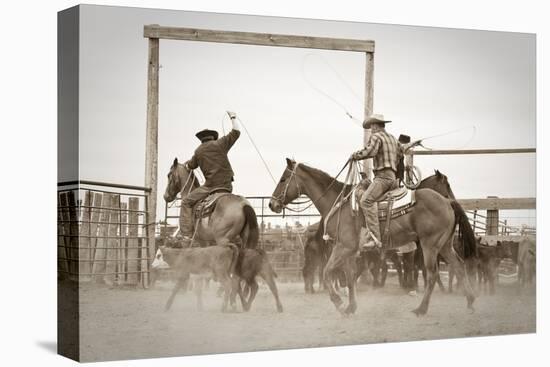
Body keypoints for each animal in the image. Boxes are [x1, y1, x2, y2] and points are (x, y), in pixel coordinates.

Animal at [270, 160, 476, 318]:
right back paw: (470, 301)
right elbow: (349, 277)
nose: (272, 204)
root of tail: (447, 202)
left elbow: (328, 272)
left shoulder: (343, 247)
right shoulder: (349, 250)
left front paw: (338, 301)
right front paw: (350, 307)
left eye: (283, 179)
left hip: (429, 246)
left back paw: (421, 309)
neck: (339, 203)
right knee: (458, 266)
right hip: (445, 245)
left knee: (432, 274)